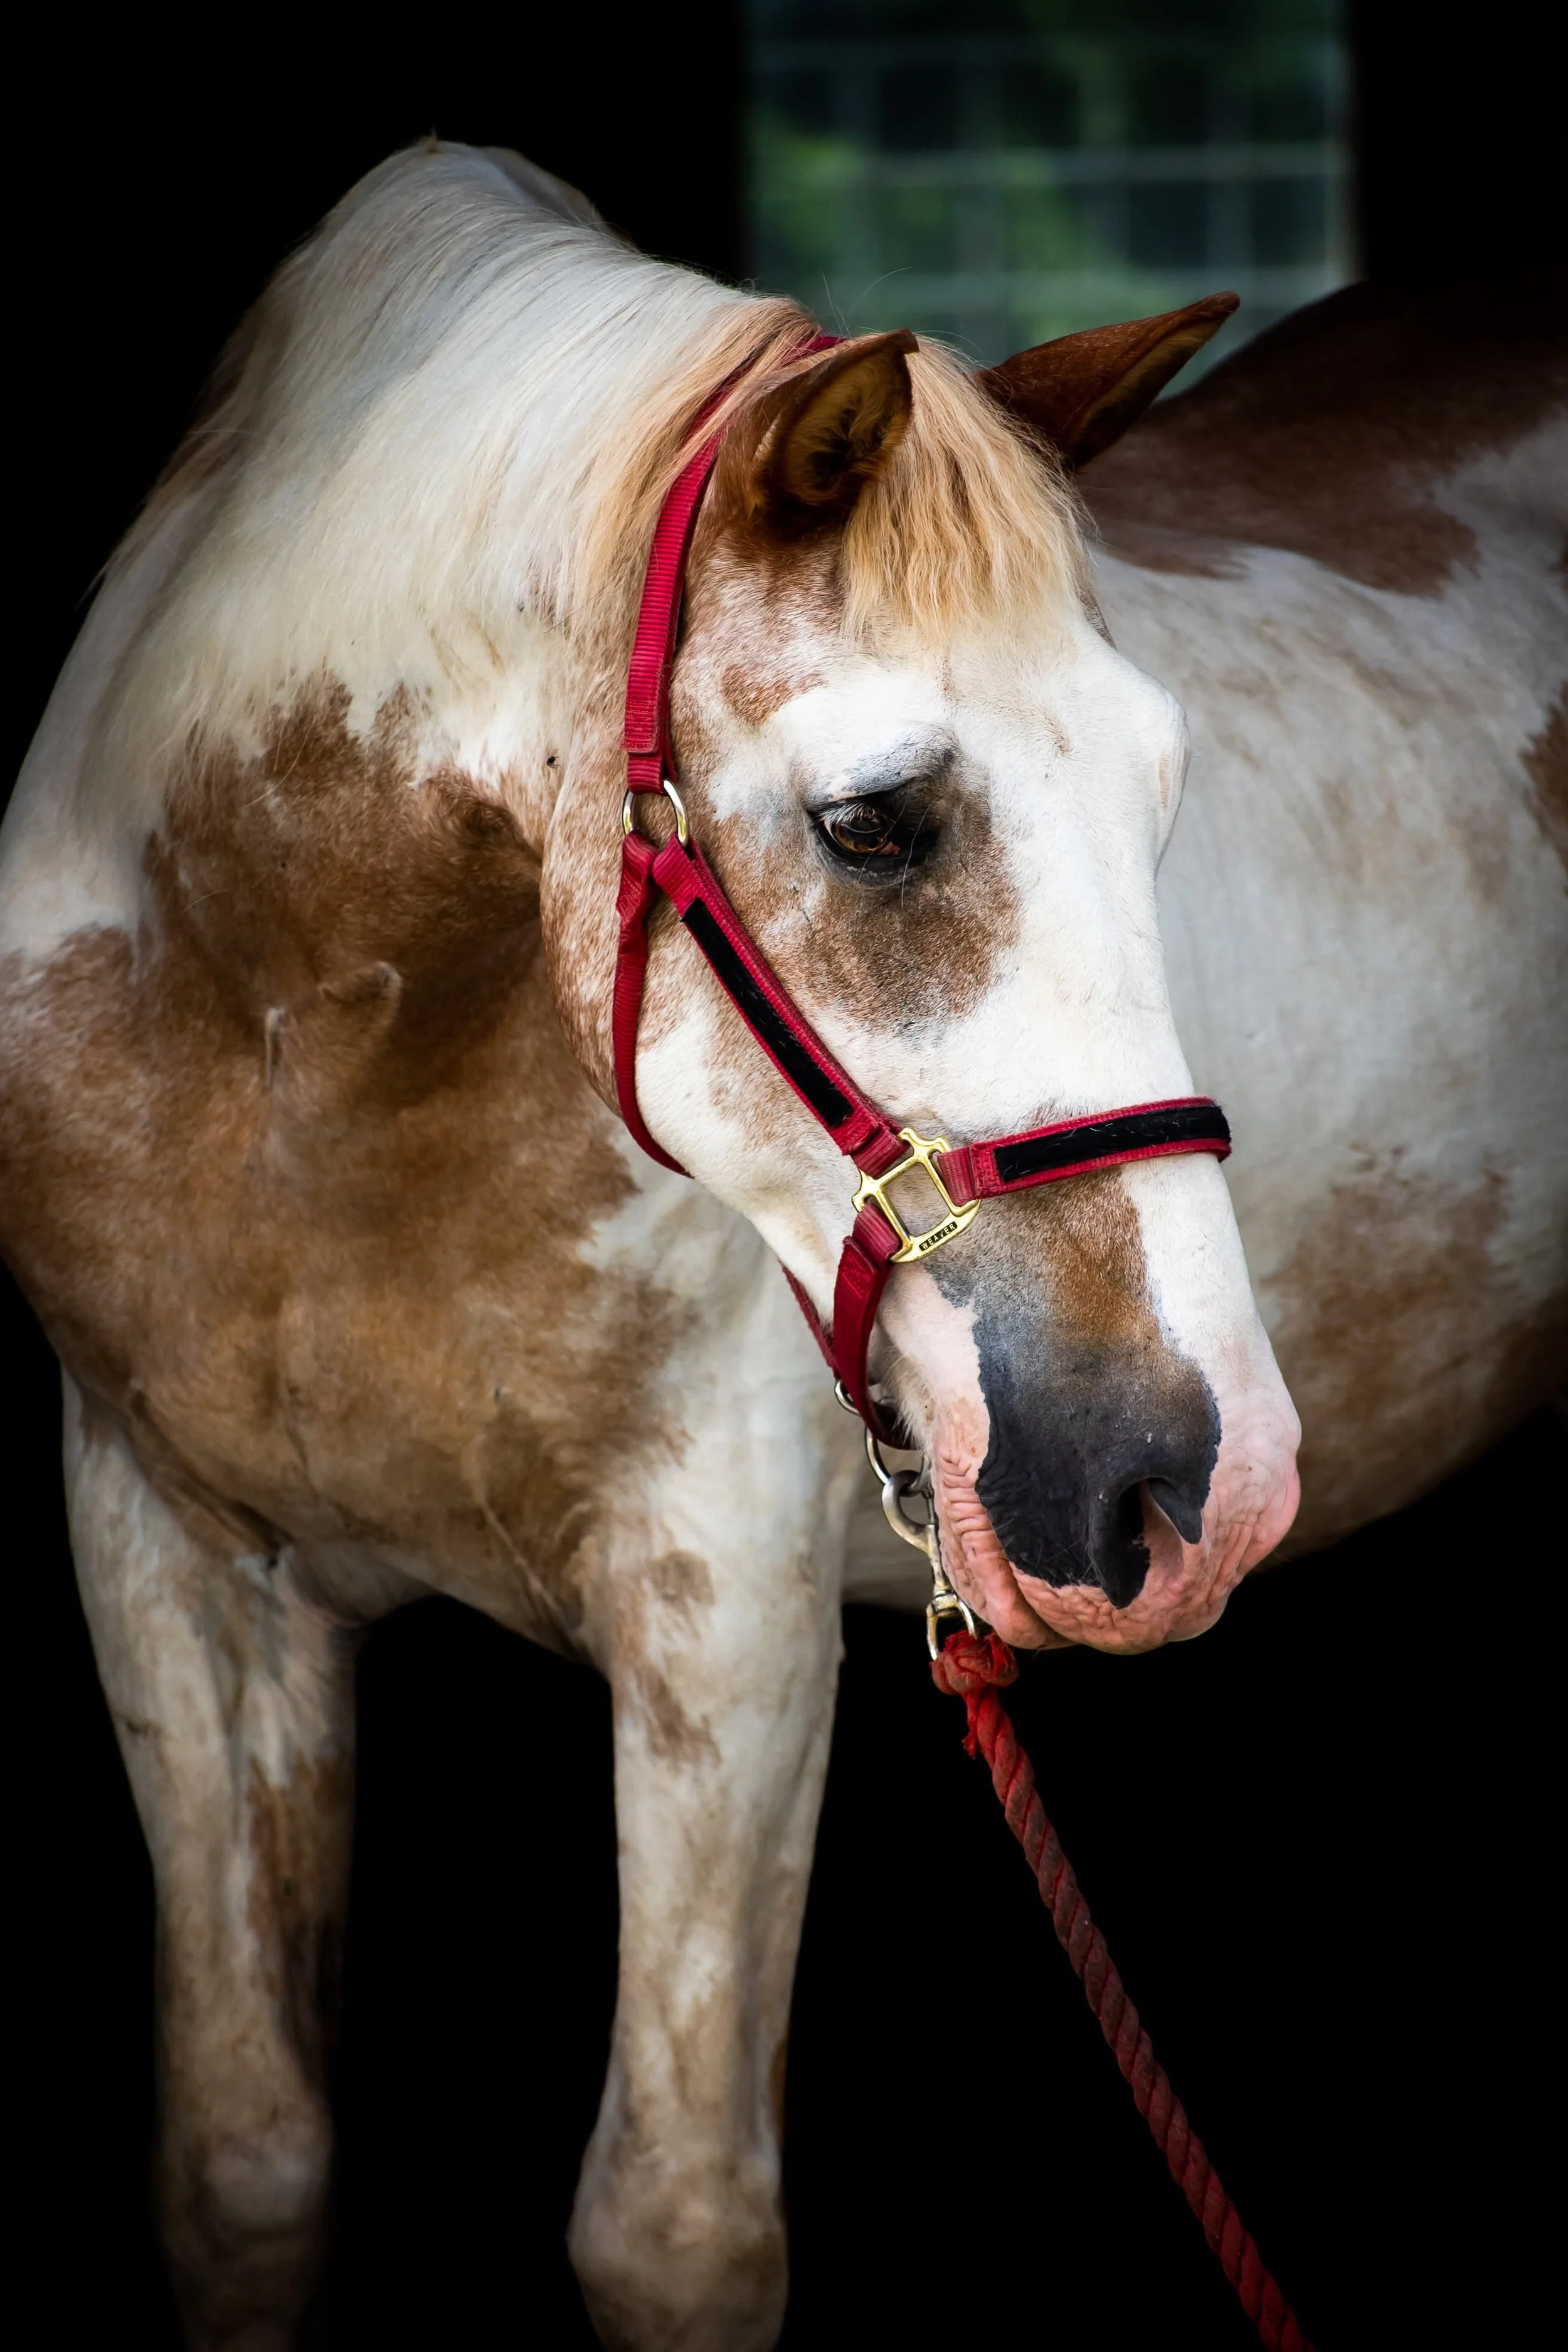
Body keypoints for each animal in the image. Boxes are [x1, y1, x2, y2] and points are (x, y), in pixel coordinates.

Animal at [0, 142, 1561, 2350]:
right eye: (873, 823)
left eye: (1165, 791)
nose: (1209, 1478)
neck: (295, 1058)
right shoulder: (166, 1556)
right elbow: (245, 2164)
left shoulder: (717, 1605)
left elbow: (672, 2223)